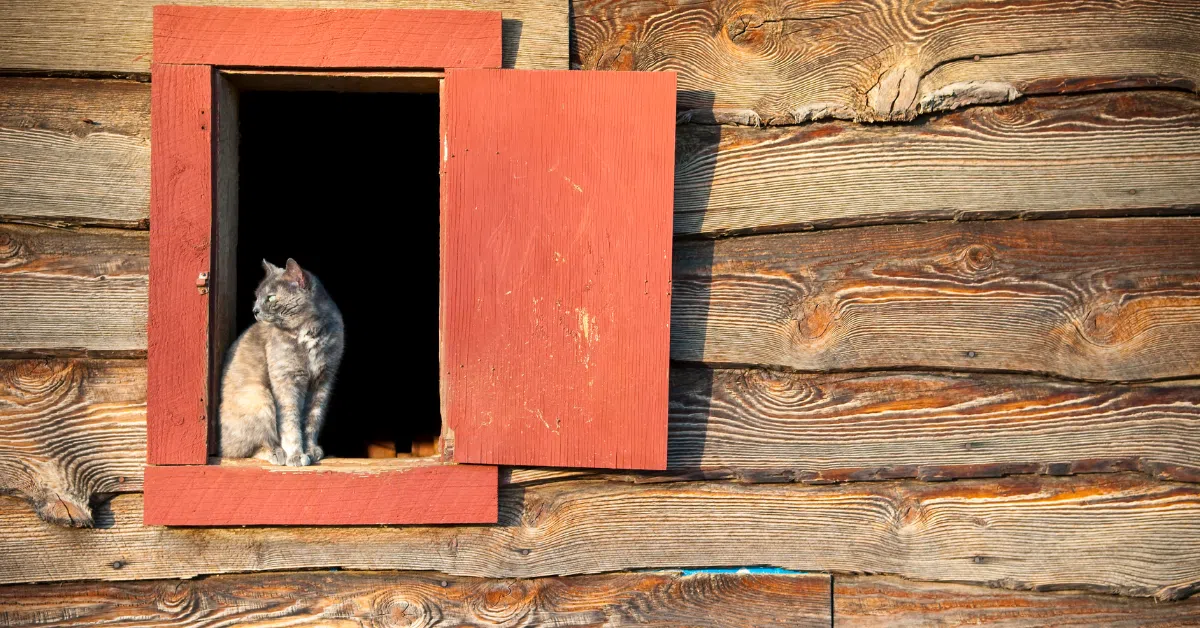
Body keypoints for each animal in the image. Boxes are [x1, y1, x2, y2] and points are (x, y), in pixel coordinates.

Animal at [219, 256, 345, 465]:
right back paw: (276, 453)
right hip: (258, 395)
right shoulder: (286, 379)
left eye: (270, 298)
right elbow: (290, 421)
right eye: (257, 296)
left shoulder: (323, 381)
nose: (255, 310)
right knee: (241, 450)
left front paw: (311, 450)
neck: (308, 331)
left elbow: (312, 420)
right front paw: (296, 456)